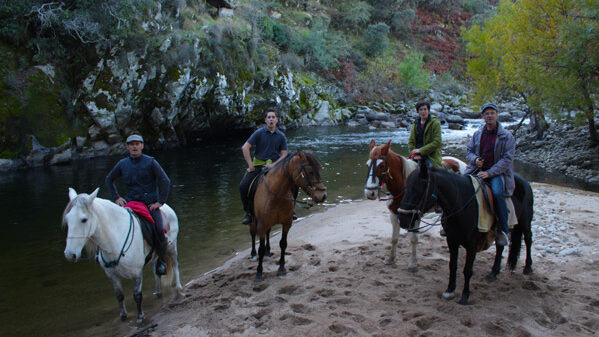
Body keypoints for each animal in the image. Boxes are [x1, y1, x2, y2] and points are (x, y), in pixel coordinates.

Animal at [62, 188, 183, 322]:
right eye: (67, 219)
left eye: (84, 219)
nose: (69, 254)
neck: (115, 238)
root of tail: (167, 207)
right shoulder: (112, 275)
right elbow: (119, 295)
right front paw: (123, 315)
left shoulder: (136, 273)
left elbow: (137, 295)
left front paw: (140, 316)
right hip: (152, 257)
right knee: (156, 273)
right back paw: (157, 293)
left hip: (172, 247)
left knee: (175, 265)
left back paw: (179, 289)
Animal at [252, 151, 330, 280]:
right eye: (310, 172)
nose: (323, 196)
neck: (276, 196)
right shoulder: (262, 225)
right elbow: (261, 248)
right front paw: (258, 273)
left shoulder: (287, 223)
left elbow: (283, 244)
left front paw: (281, 268)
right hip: (254, 220)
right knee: (252, 234)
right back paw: (253, 254)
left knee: (268, 233)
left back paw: (268, 251)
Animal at [364, 139, 466, 270]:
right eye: (367, 165)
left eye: (381, 166)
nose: (369, 193)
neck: (403, 187)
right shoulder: (394, 214)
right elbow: (394, 238)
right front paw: (391, 259)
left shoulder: (415, 216)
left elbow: (413, 239)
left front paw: (413, 263)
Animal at [398, 160, 536, 304]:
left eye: (418, 189)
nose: (402, 219)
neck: (461, 203)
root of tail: (524, 181)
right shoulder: (452, 240)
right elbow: (452, 265)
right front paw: (450, 290)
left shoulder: (472, 243)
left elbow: (467, 269)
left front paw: (465, 296)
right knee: (500, 246)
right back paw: (493, 273)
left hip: (525, 223)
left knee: (528, 239)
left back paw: (528, 267)